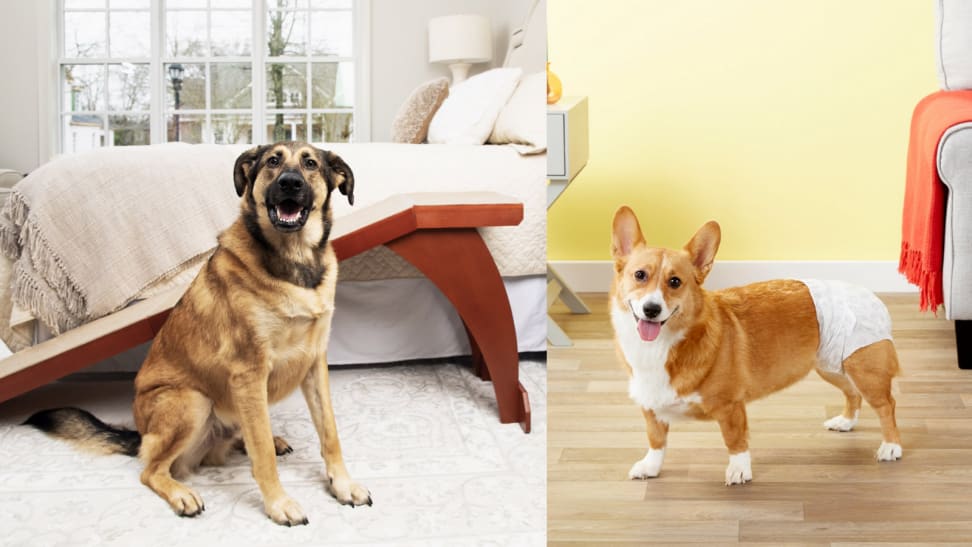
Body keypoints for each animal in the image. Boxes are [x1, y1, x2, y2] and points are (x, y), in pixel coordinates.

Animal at [26, 141, 370, 528]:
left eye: (310, 163)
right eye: (273, 161)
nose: (290, 183)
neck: (295, 263)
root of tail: (141, 435)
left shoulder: (314, 365)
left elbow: (329, 433)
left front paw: (343, 485)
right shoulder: (249, 373)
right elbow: (262, 455)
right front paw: (278, 504)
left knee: (241, 437)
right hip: (192, 401)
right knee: (151, 470)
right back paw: (182, 494)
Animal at [612, 207, 900, 488]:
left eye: (675, 282)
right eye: (640, 275)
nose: (651, 309)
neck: (663, 346)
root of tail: (869, 294)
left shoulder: (731, 407)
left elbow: (735, 442)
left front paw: (739, 471)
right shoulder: (650, 405)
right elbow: (656, 440)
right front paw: (650, 467)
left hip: (863, 370)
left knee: (886, 405)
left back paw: (891, 446)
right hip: (831, 366)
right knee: (852, 392)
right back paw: (846, 422)